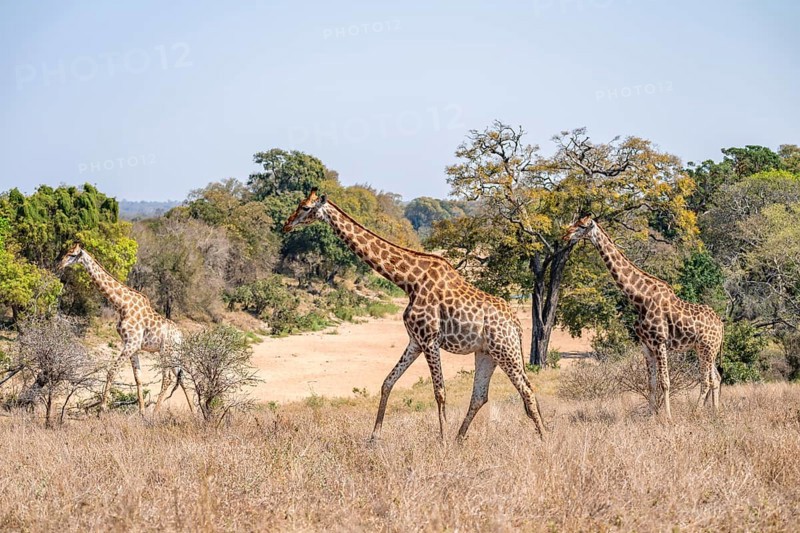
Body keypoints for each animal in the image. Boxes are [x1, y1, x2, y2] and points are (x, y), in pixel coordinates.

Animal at [58, 244, 192, 415]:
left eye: (72, 254)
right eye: (66, 252)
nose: (60, 265)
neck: (122, 305)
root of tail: (181, 336)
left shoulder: (132, 343)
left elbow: (111, 372)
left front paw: (101, 410)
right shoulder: (132, 346)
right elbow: (138, 378)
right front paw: (141, 412)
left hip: (165, 351)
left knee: (167, 378)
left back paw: (155, 413)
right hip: (175, 354)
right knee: (182, 378)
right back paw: (196, 413)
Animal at [283, 188, 545, 440]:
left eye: (305, 207)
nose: (287, 224)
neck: (408, 281)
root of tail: (516, 324)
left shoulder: (429, 340)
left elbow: (439, 392)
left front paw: (442, 441)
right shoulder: (415, 341)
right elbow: (387, 382)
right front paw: (374, 438)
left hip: (506, 350)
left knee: (526, 389)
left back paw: (543, 438)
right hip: (486, 353)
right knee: (480, 396)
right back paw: (459, 439)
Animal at [563, 216, 724, 418]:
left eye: (582, 225)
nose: (565, 236)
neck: (640, 298)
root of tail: (721, 325)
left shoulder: (660, 342)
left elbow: (665, 382)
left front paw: (668, 417)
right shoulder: (646, 346)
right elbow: (651, 383)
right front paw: (652, 416)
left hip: (706, 348)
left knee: (706, 380)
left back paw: (696, 413)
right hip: (706, 349)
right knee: (716, 378)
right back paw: (715, 413)